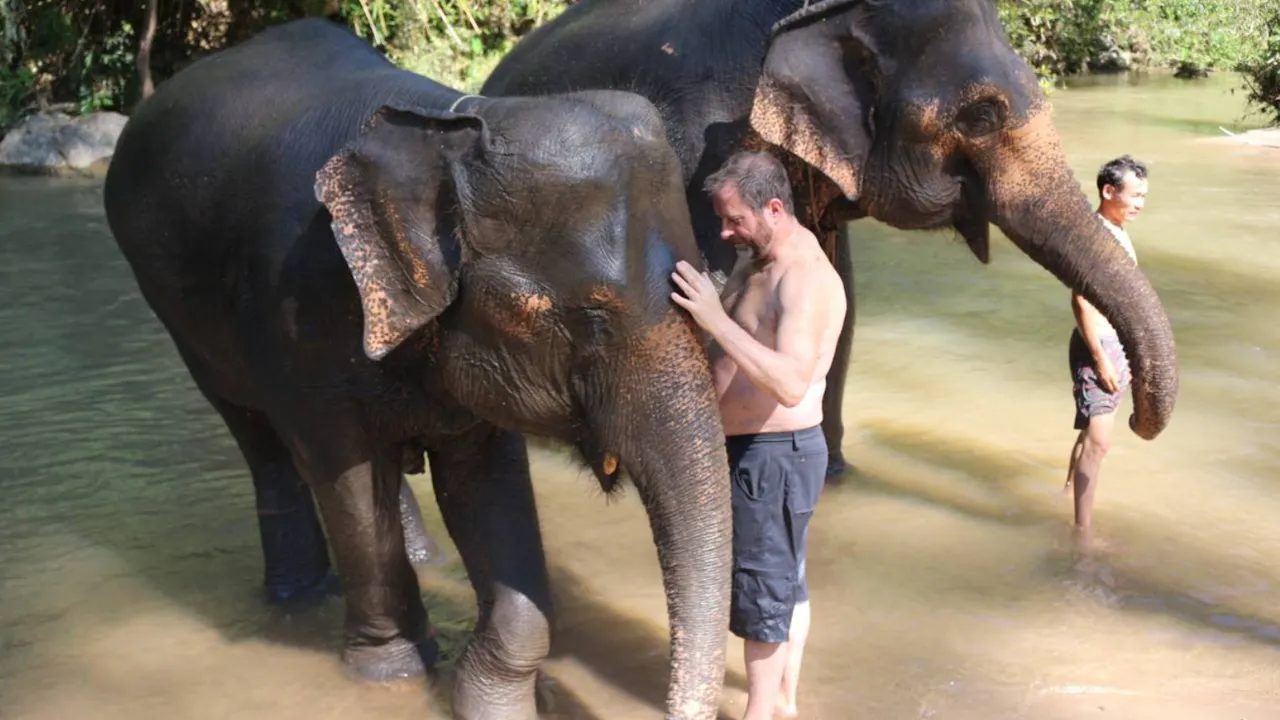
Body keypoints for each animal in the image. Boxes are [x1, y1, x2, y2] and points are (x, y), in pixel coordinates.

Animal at [102, 18, 732, 720]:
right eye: (591, 318)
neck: (452, 127)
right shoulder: (297, 312)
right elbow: (344, 474)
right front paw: (392, 675)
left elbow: (483, 484)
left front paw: (486, 697)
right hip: (175, 307)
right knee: (262, 442)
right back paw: (298, 596)